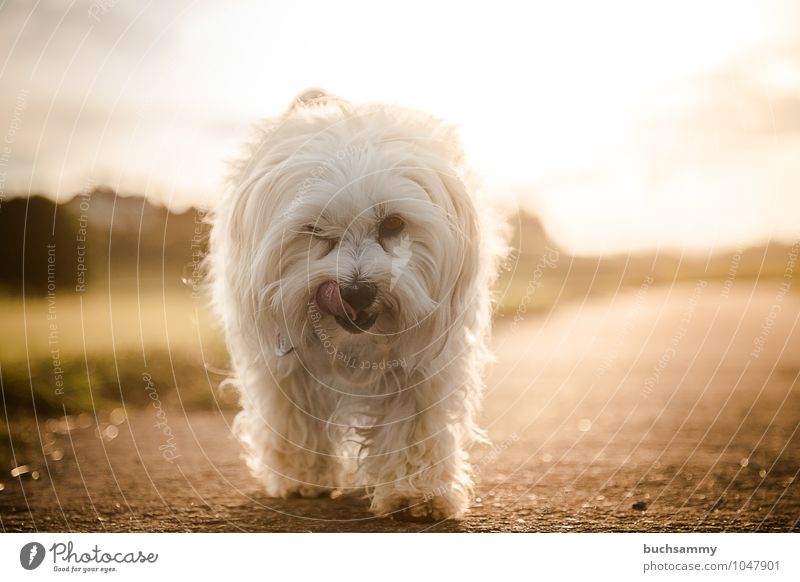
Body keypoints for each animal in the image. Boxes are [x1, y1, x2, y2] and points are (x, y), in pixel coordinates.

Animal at [209, 92, 504, 524]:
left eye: (394, 224)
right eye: (315, 229)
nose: (357, 291)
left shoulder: (424, 357)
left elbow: (415, 421)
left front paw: (417, 492)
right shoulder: (283, 361)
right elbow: (295, 414)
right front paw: (303, 477)